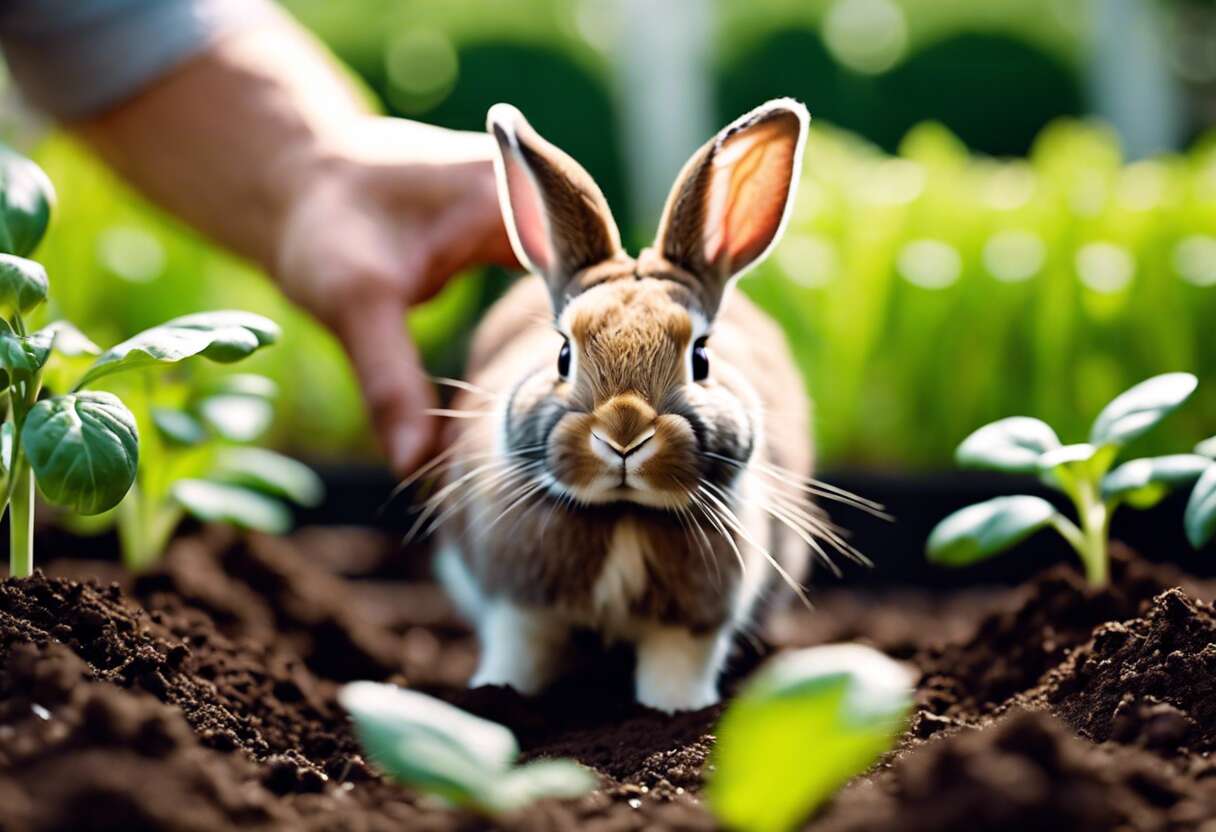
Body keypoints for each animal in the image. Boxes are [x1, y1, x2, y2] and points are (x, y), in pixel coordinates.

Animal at [432, 98, 824, 713]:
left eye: (702, 358)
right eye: (563, 354)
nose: (623, 433)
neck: (624, 516)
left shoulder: (692, 625)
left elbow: (676, 670)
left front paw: (674, 712)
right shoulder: (518, 609)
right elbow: (519, 653)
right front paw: (498, 693)